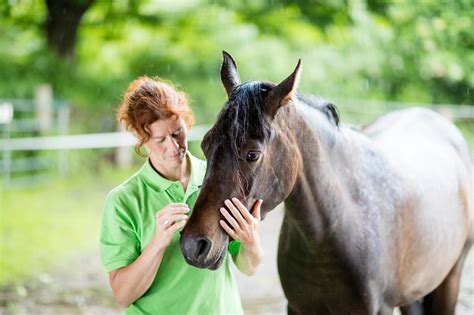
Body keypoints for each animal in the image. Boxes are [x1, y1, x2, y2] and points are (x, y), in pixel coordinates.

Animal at [180, 52, 472, 315]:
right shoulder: (298, 308)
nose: (194, 245)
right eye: (205, 145)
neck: (337, 224)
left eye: (252, 154)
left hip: (451, 279)